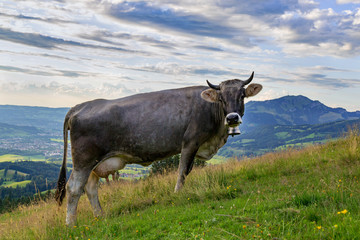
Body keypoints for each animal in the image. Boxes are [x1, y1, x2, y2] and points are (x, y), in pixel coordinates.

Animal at [54, 72, 262, 226]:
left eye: (242, 96)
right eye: (221, 98)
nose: (232, 118)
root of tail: (81, 105)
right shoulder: (190, 142)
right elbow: (182, 172)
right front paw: (178, 195)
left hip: (96, 163)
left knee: (89, 187)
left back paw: (100, 215)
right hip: (84, 160)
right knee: (74, 187)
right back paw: (70, 224)